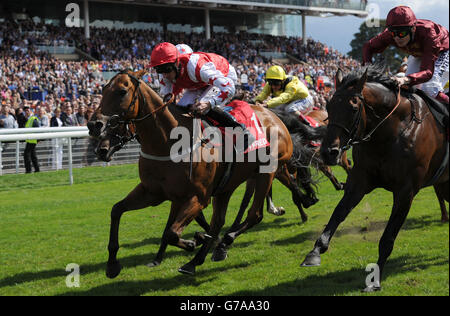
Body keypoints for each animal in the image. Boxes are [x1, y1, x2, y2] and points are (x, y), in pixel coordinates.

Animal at [87, 69, 296, 276]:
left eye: (122, 91)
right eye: (103, 89)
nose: (94, 125)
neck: (168, 142)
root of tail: (274, 116)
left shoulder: (198, 198)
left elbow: (171, 232)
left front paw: (192, 241)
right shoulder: (154, 193)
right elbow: (117, 210)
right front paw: (112, 264)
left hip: (266, 172)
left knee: (255, 215)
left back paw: (223, 242)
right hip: (226, 185)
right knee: (219, 221)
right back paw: (199, 258)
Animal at [300, 63, 448, 292]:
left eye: (353, 108)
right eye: (329, 107)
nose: (328, 152)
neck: (389, 134)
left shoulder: (405, 191)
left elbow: (388, 237)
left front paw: (375, 280)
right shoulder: (360, 181)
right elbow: (338, 214)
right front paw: (315, 252)